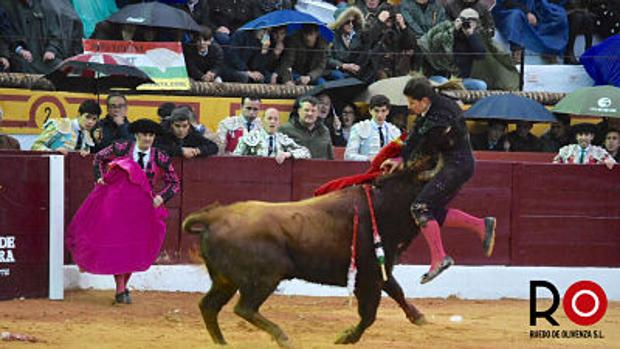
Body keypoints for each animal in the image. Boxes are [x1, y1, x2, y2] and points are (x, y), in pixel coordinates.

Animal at [182, 156, 444, 346]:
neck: (383, 205)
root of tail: (214, 217)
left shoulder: (382, 268)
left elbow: (397, 291)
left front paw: (418, 317)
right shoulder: (369, 275)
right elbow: (369, 314)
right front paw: (346, 337)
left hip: (224, 280)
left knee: (209, 306)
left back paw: (222, 343)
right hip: (264, 277)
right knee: (244, 308)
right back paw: (282, 337)